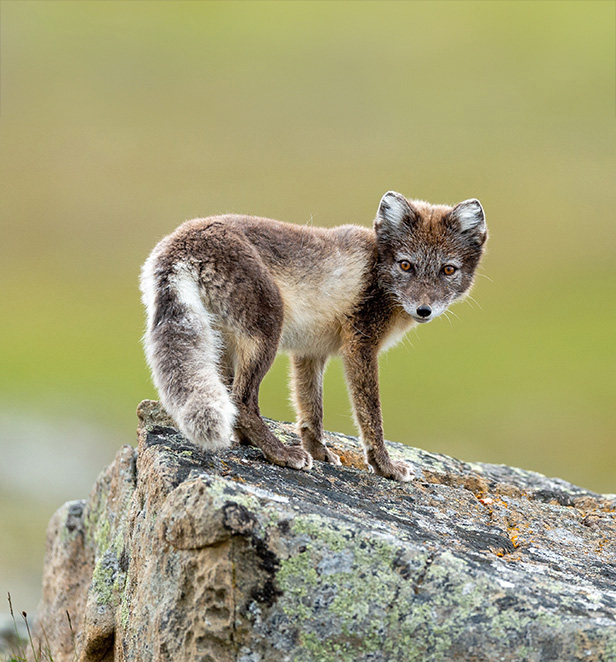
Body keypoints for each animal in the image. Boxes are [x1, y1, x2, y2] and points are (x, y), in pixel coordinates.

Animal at [140, 191, 486, 482]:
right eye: (406, 265)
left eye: (448, 270)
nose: (423, 310)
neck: (378, 270)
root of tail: (181, 241)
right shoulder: (360, 346)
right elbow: (371, 417)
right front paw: (385, 466)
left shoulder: (310, 352)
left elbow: (311, 409)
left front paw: (319, 452)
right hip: (266, 331)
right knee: (242, 400)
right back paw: (280, 453)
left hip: (224, 343)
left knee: (229, 396)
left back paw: (249, 442)